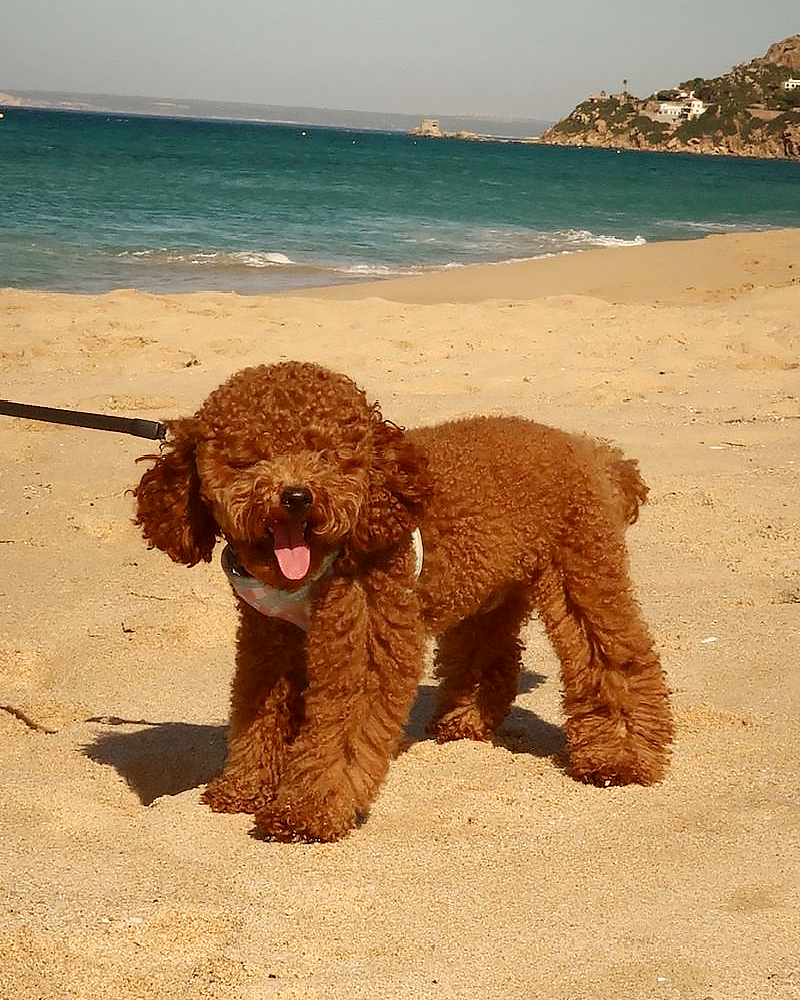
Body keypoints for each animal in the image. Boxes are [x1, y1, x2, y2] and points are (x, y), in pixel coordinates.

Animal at [134, 361, 672, 841]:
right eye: (247, 459)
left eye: (330, 456)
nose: (297, 496)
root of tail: (590, 450)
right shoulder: (270, 639)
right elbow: (257, 711)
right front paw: (243, 787)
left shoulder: (365, 640)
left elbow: (340, 732)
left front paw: (306, 812)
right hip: (485, 586)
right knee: (488, 652)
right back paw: (465, 721)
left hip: (583, 570)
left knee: (615, 658)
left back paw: (620, 758)